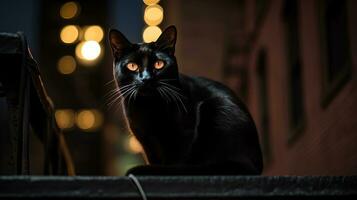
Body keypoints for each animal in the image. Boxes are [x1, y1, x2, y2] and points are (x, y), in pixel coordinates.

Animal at [108, 25, 262, 175]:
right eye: (132, 66)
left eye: (159, 64)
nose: (146, 78)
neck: (147, 108)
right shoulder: (148, 142)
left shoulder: (183, 135)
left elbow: (176, 161)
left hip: (214, 108)